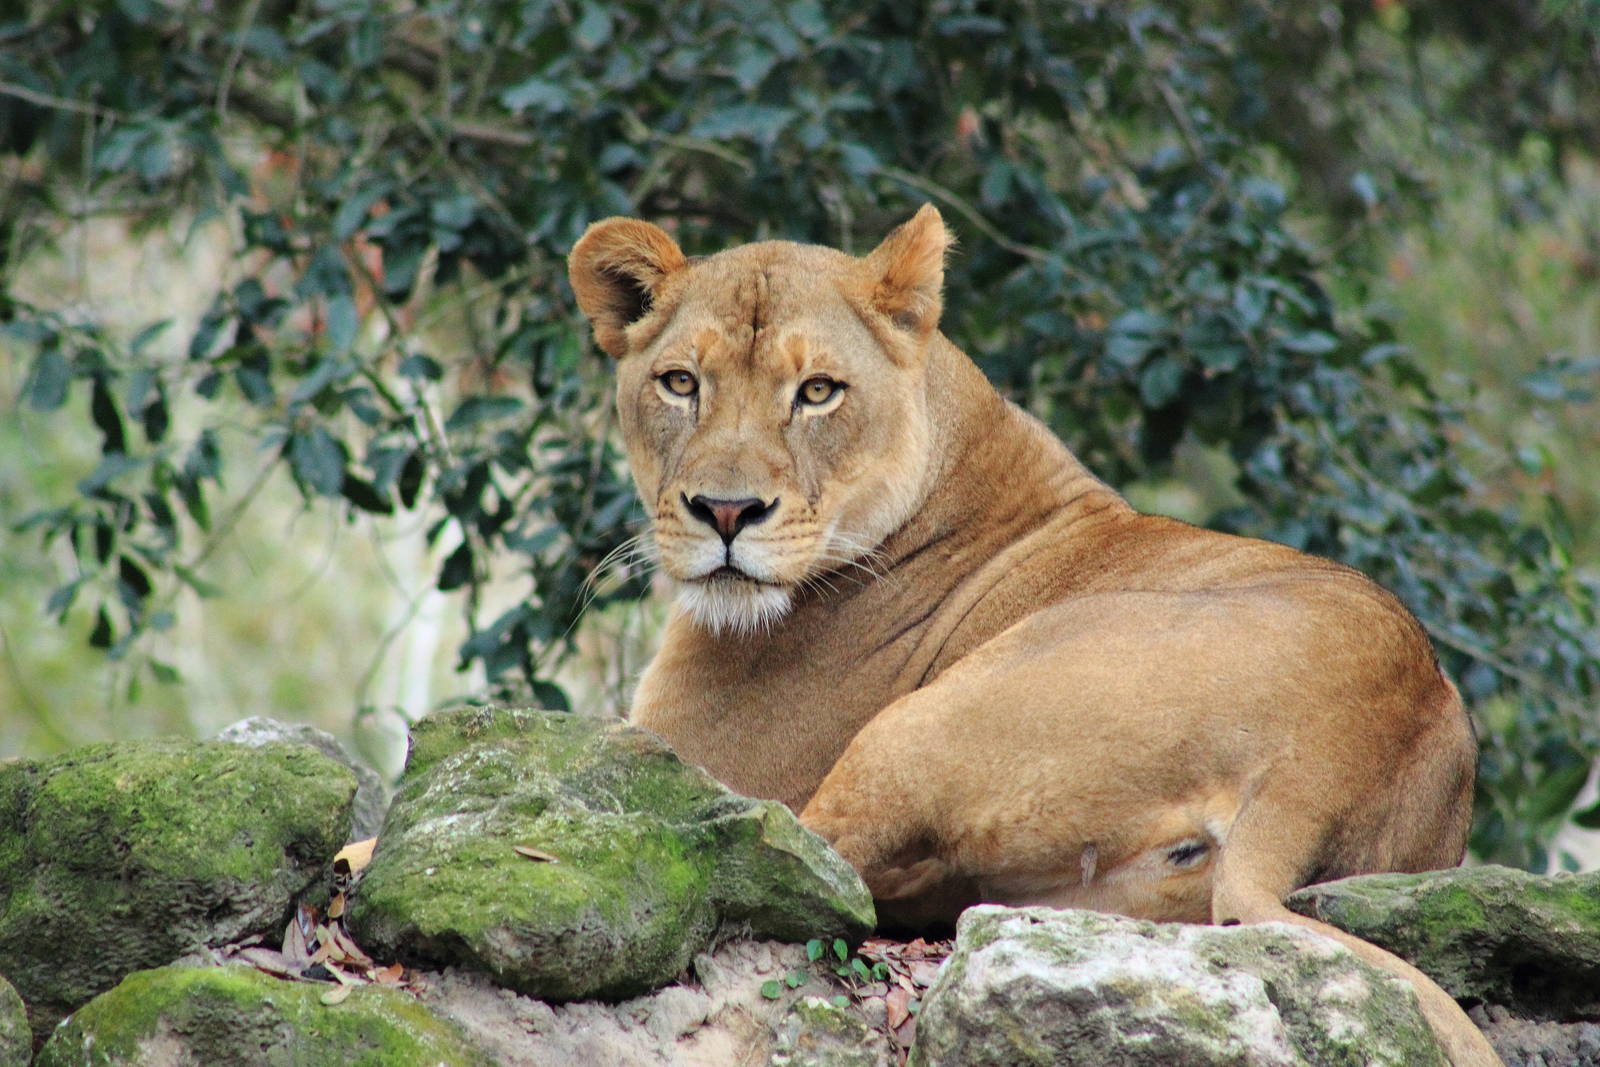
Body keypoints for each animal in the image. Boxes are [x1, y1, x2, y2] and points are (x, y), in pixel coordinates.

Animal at [568, 205, 1498, 1066]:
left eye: (819, 391)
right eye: (680, 383)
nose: (725, 512)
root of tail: (1331, 756)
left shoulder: (708, 756)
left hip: (923, 724)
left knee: (813, 859)